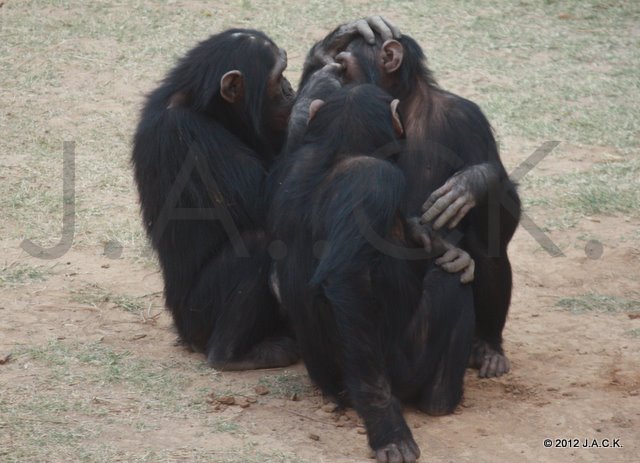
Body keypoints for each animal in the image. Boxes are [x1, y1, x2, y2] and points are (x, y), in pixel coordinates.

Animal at [270, 83, 476, 463]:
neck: (338, 149)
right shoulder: (372, 180)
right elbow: (348, 281)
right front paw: (387, 426)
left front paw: (437, 242)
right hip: (406, 366)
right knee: (450, 283)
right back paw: (441, 398)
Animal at [302, 29, 524, 378]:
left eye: (344, 66)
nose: (334, 84)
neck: (404, 106)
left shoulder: (468, 118)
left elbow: (504, 204)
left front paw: (473, 181)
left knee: (488, 237)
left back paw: (489, 346)